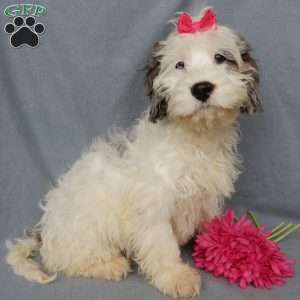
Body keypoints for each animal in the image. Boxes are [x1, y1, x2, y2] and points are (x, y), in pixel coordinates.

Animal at [5, 7, 262, 298]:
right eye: (179, 65)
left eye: (220, 57)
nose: (201, 88)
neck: (195, 138)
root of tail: (44, 228)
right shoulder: (154, 204)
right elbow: (162, 244)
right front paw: (176, 276)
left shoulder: (208, 198)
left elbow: (209, 228)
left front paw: (218, 250)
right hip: (86, 227)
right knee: (66, 259)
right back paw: (108, 265)